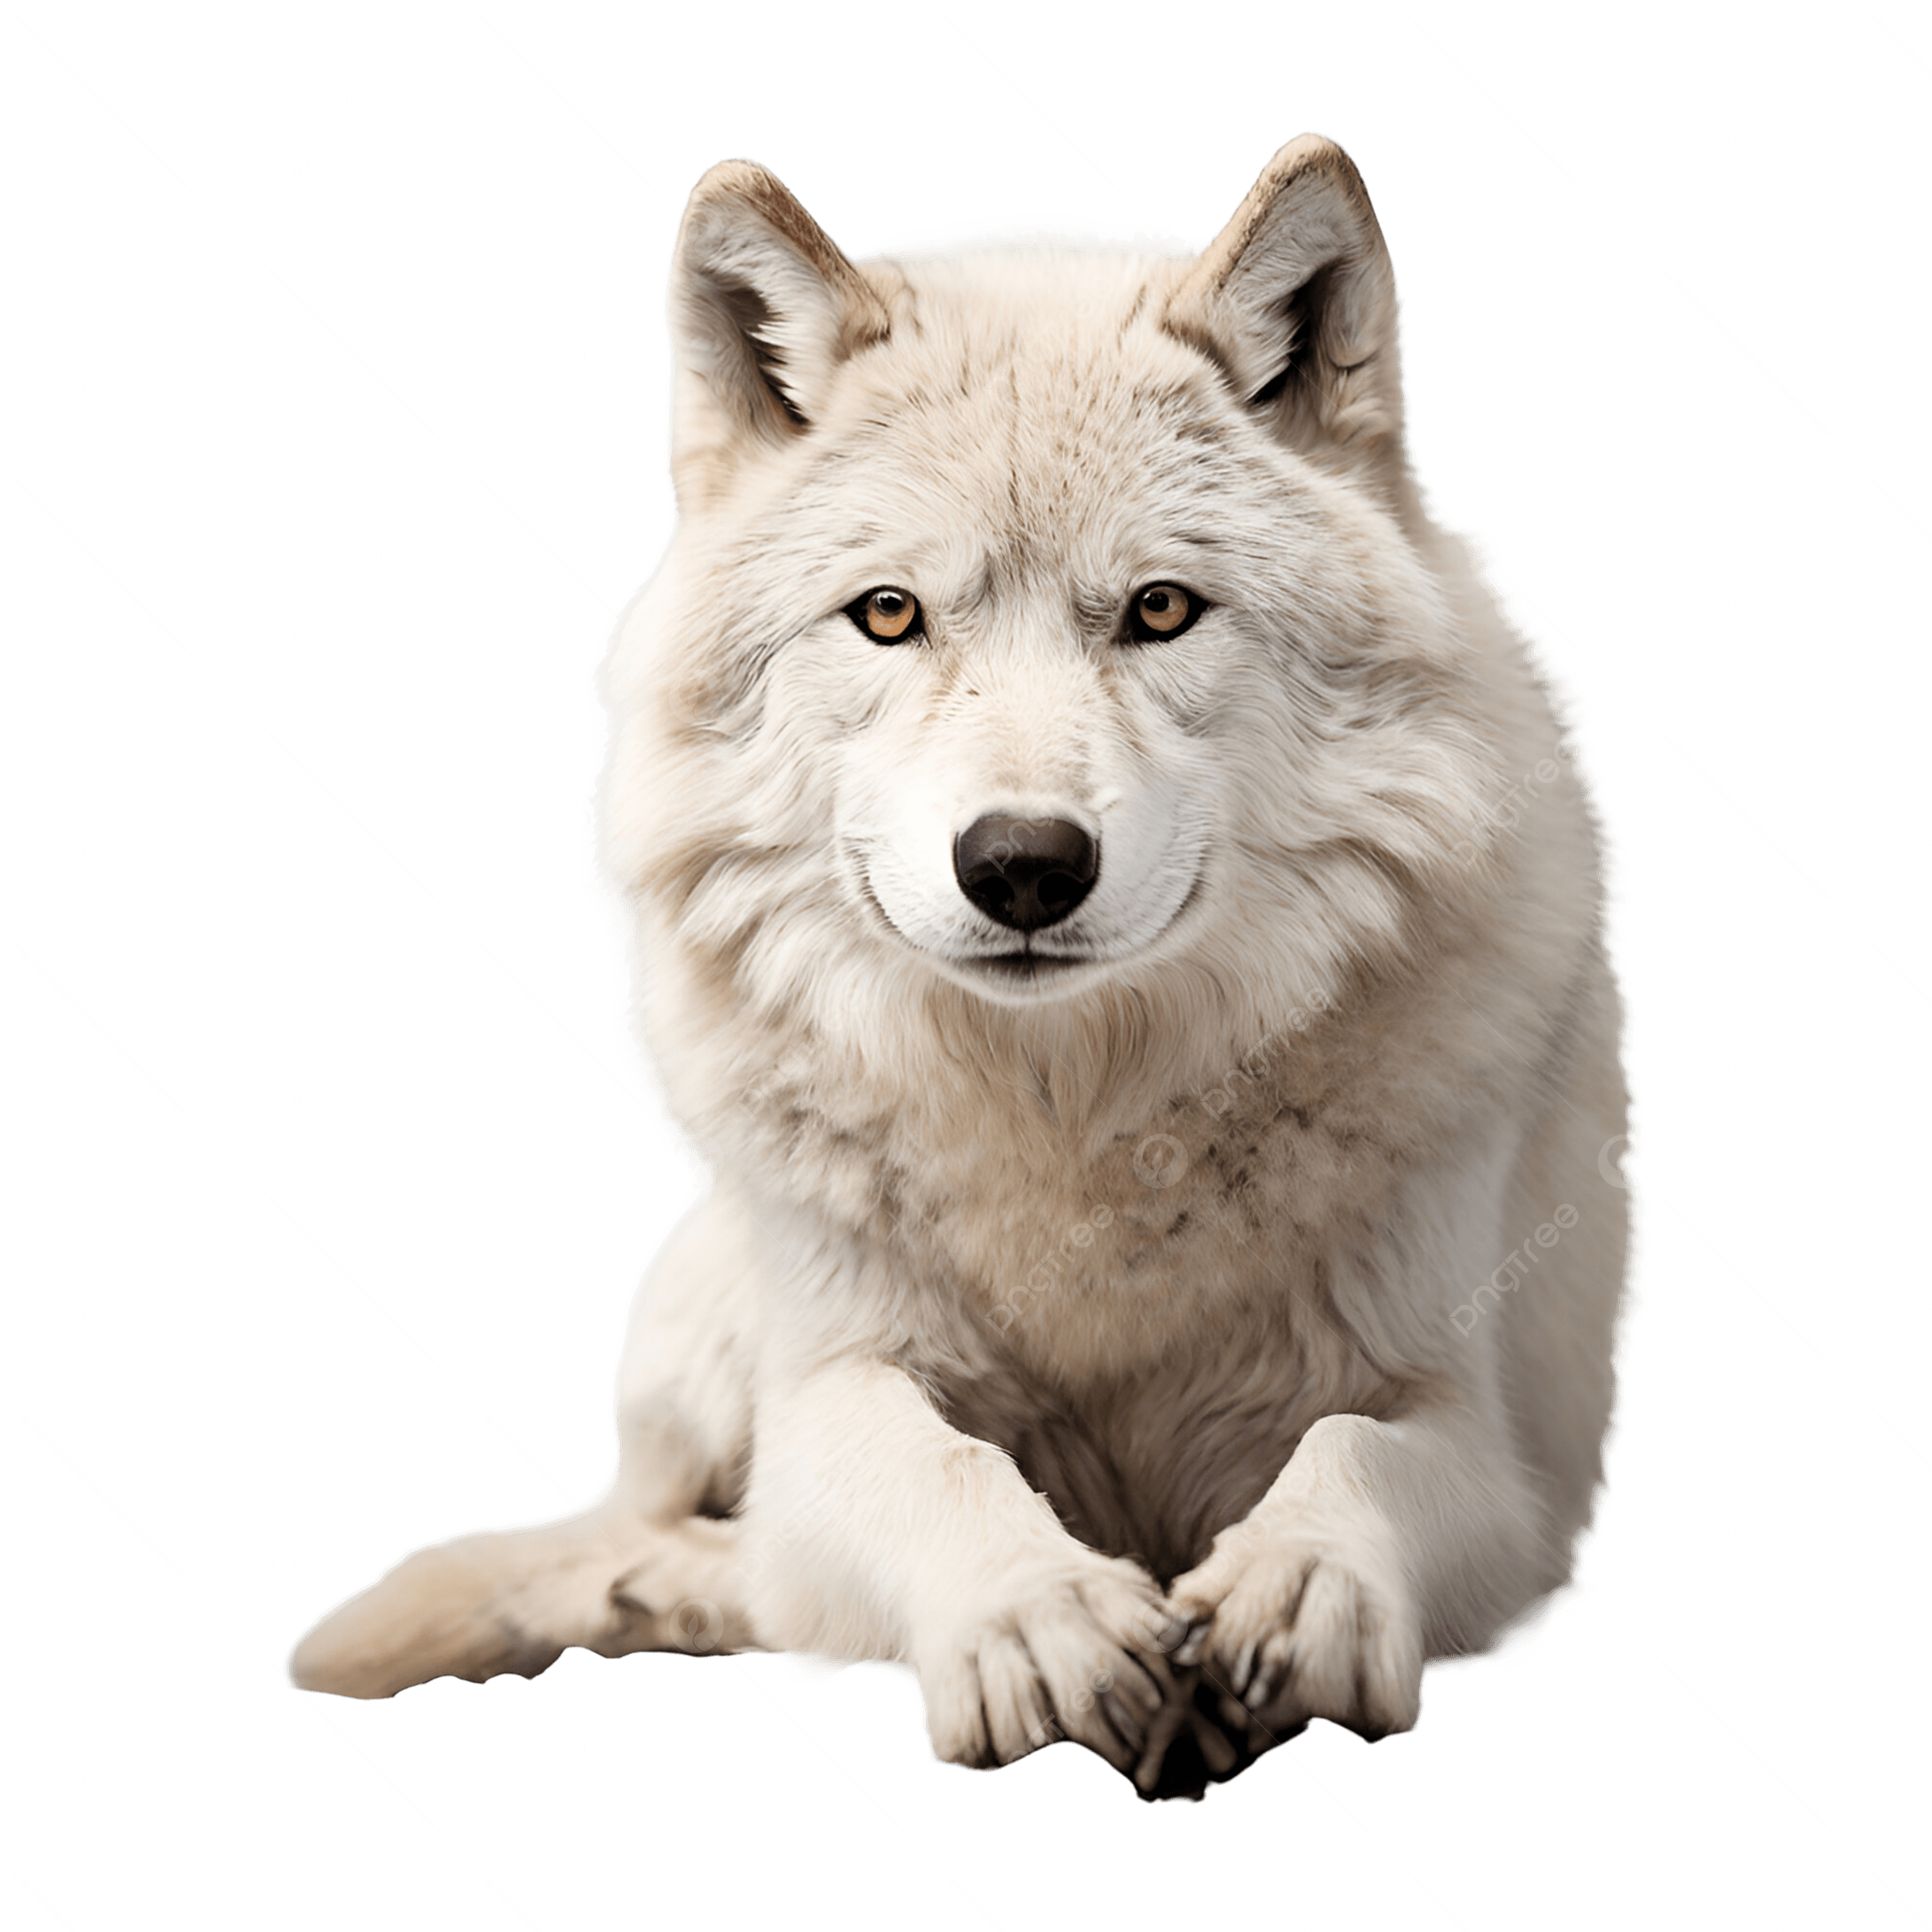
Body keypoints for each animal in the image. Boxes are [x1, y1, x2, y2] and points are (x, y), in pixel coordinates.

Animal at [284, 131, 1646, 1803]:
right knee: (645, 1532)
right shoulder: (830, 1378)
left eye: (1160, 608)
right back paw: (665, 1589)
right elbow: (922, 1458)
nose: (1021, 864)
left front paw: (1298, 1586)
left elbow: (1359, 1456)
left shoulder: (1502, 1463)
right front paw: (1035, 1616)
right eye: (889, 614)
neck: (1073, 1122)